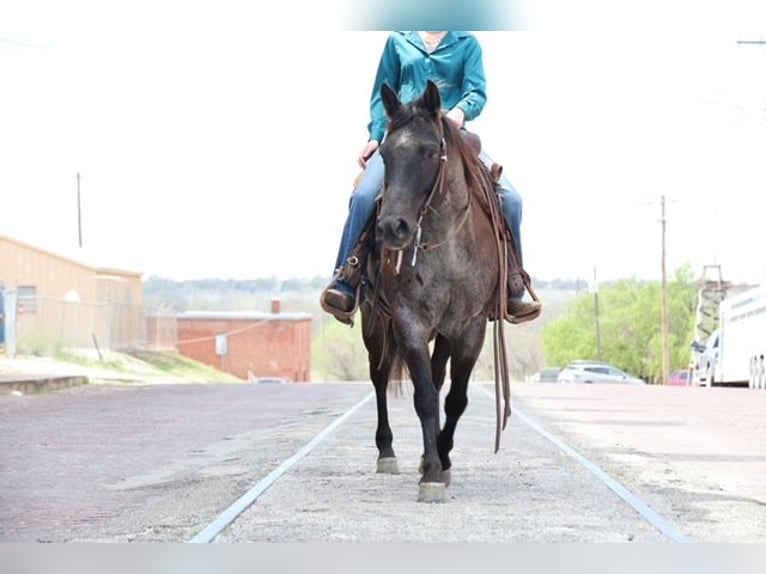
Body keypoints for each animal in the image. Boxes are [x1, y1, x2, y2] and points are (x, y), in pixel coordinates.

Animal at [360, 80, 512, 503]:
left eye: (430, 151)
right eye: (384, 153)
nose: (391, 228)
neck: (446, 244)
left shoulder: (469, 326)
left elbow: (455, 397)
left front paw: (441, 461)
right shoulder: (408, 322)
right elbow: (424, 395)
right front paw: (429, 472)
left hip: (444, 332)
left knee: (440, 376)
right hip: (374, 324)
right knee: (380, 377)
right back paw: (387, 451)